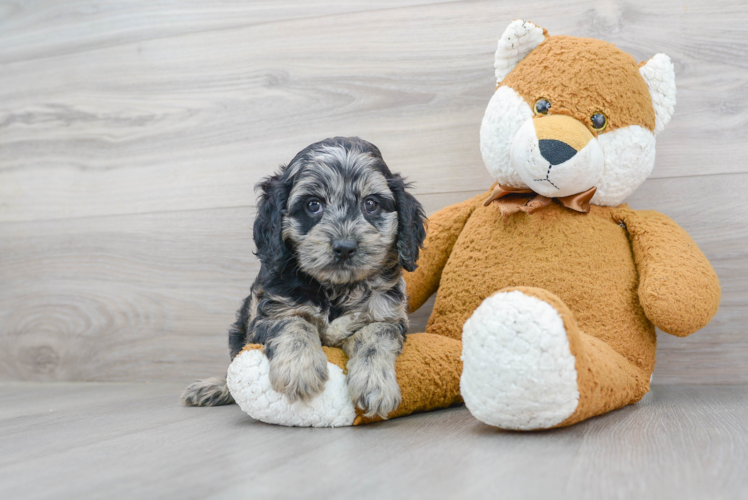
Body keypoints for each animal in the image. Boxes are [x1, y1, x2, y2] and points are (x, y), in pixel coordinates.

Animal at [180, 137, 426, 418]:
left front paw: (375, 384)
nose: (344, 247)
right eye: (313, 205)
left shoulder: (387, 316)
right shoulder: (271, 312)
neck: (336, 289)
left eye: (371, 204)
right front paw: (299, 370)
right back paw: (214, 388)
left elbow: (376, 336)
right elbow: (295, 324)